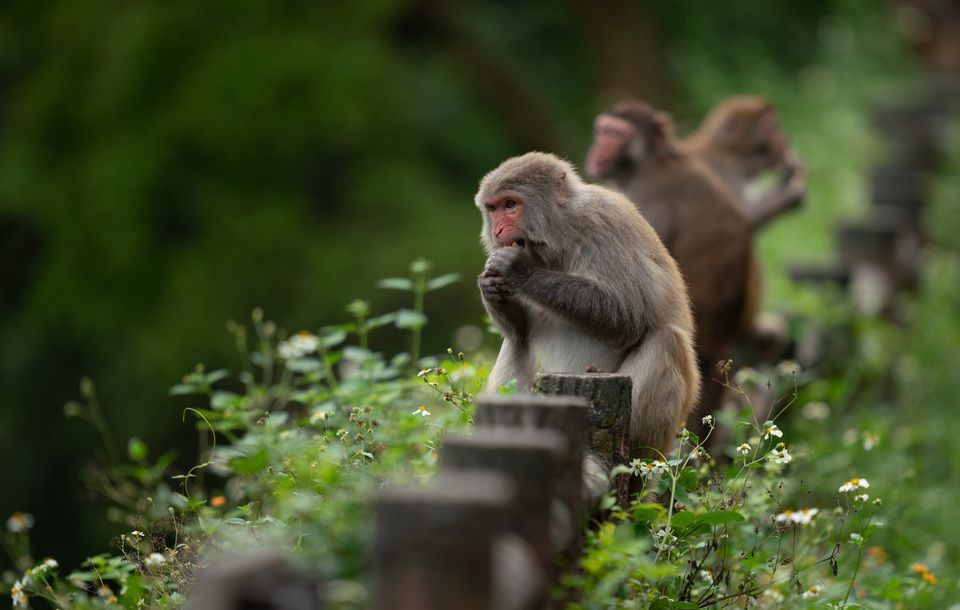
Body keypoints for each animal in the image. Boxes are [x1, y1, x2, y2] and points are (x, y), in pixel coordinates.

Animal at [476, 152, 700, 460]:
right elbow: (518, 332)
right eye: (492, 208)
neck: (560, 235)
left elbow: (627, 316)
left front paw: (519, 270)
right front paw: (490, 287)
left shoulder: (604, 224)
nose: (497, 230)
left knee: (667, 340)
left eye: (510, 204)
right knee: (515, 343)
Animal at [685, 96, 808, 233]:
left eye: (777, 125)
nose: (785, 138)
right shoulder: (723, 169)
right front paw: (787, 193)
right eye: (771, 127)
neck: (730, 152)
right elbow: (743, 218)